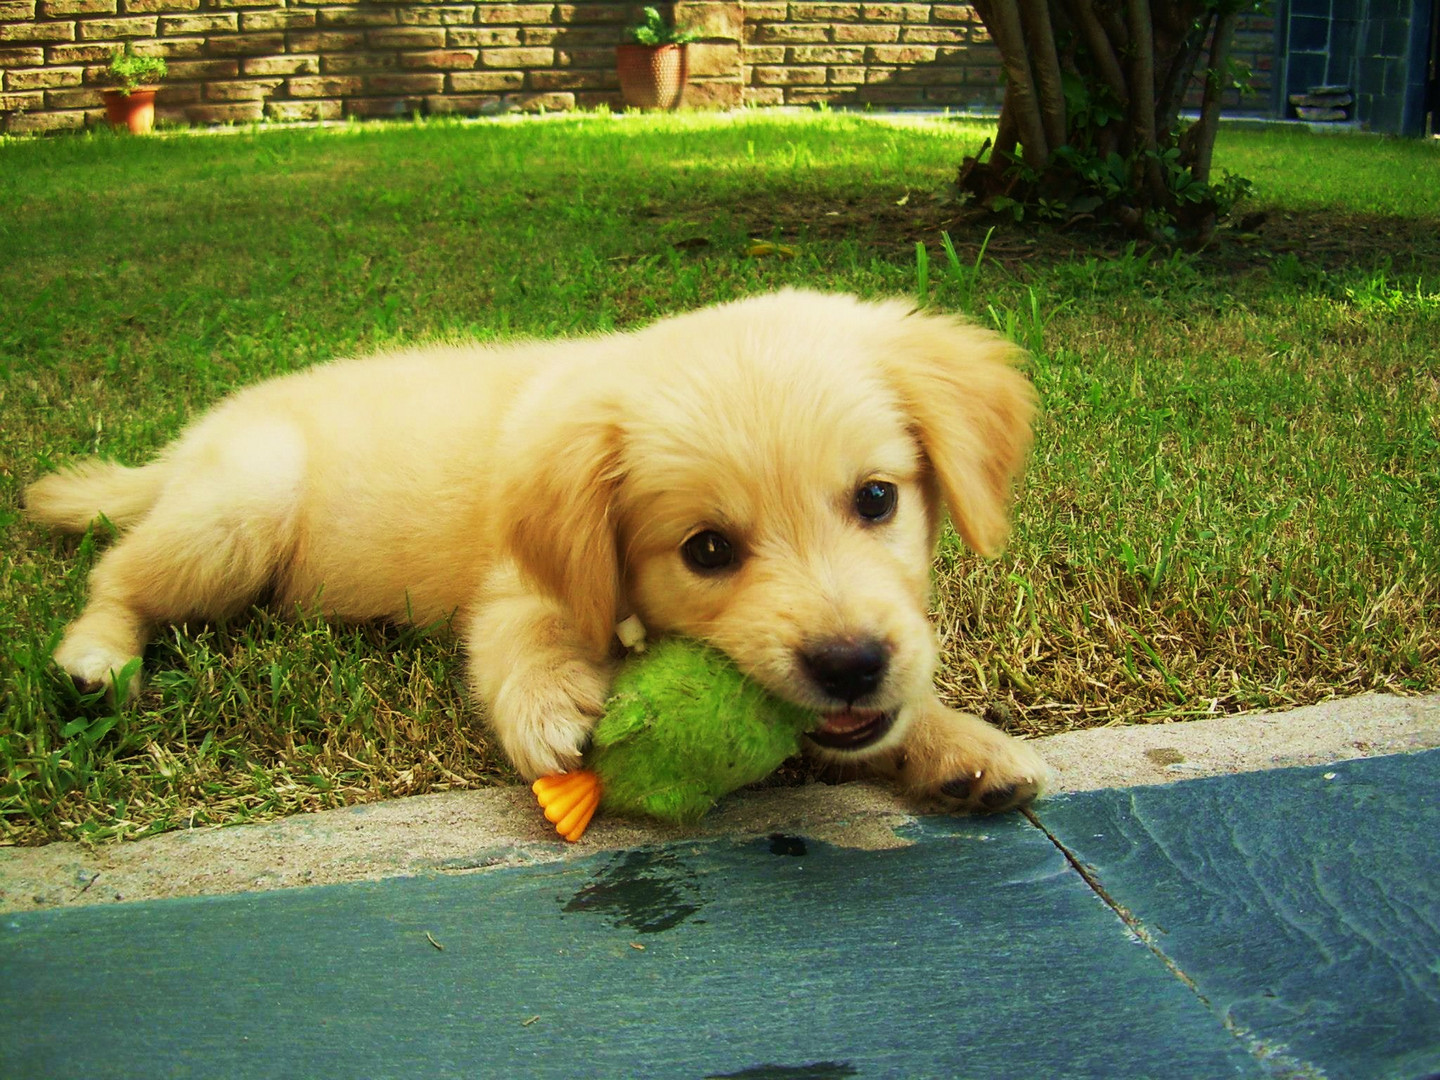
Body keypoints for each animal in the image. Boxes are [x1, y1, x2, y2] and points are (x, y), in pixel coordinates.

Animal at [28, 292, 1048, 817]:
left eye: (877, 498)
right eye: (707, 549)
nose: (849, 664)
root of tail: (187, 445)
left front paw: (960, 744)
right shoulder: (516, 588)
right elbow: (521, 640)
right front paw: (550, 705)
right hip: (242, 508)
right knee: (115, 575)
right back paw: (94, 659)